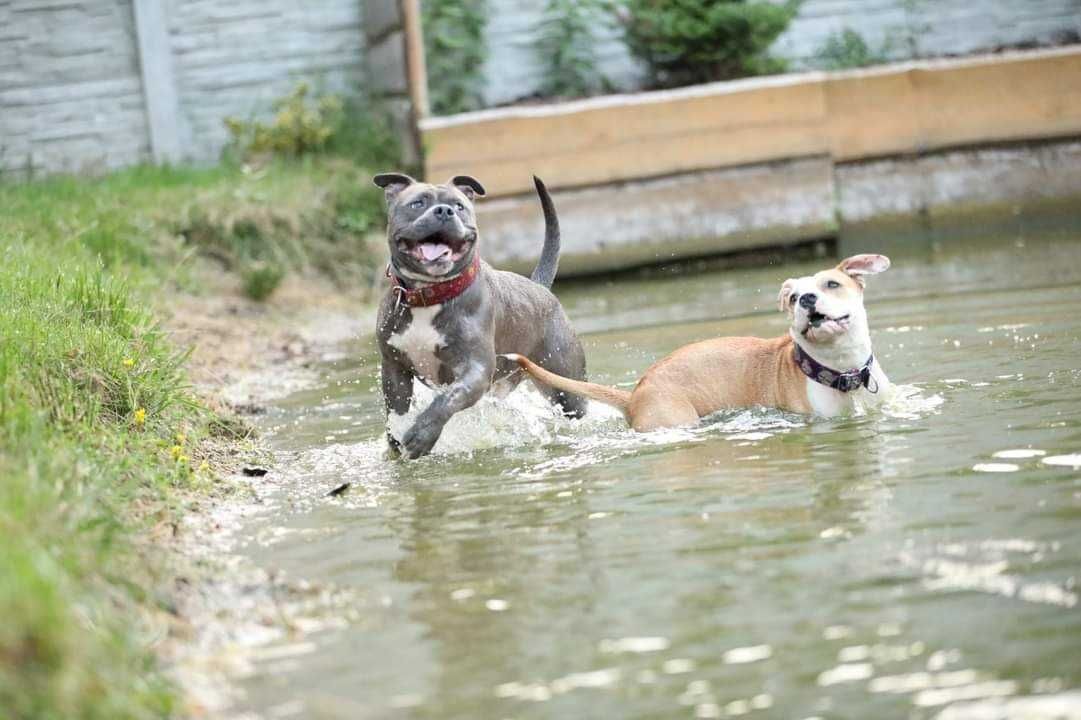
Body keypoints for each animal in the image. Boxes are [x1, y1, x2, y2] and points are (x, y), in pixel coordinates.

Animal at [374, 170, 592, 456]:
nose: (444, 211)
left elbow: (448, 398)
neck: (429, 294)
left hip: (567, 388)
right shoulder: (394, 367)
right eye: (418, 203)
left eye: (459, 206)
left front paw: (422, 434)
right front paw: (396, 441)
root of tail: (539, 287)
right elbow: (396, 413)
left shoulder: (476, 369)